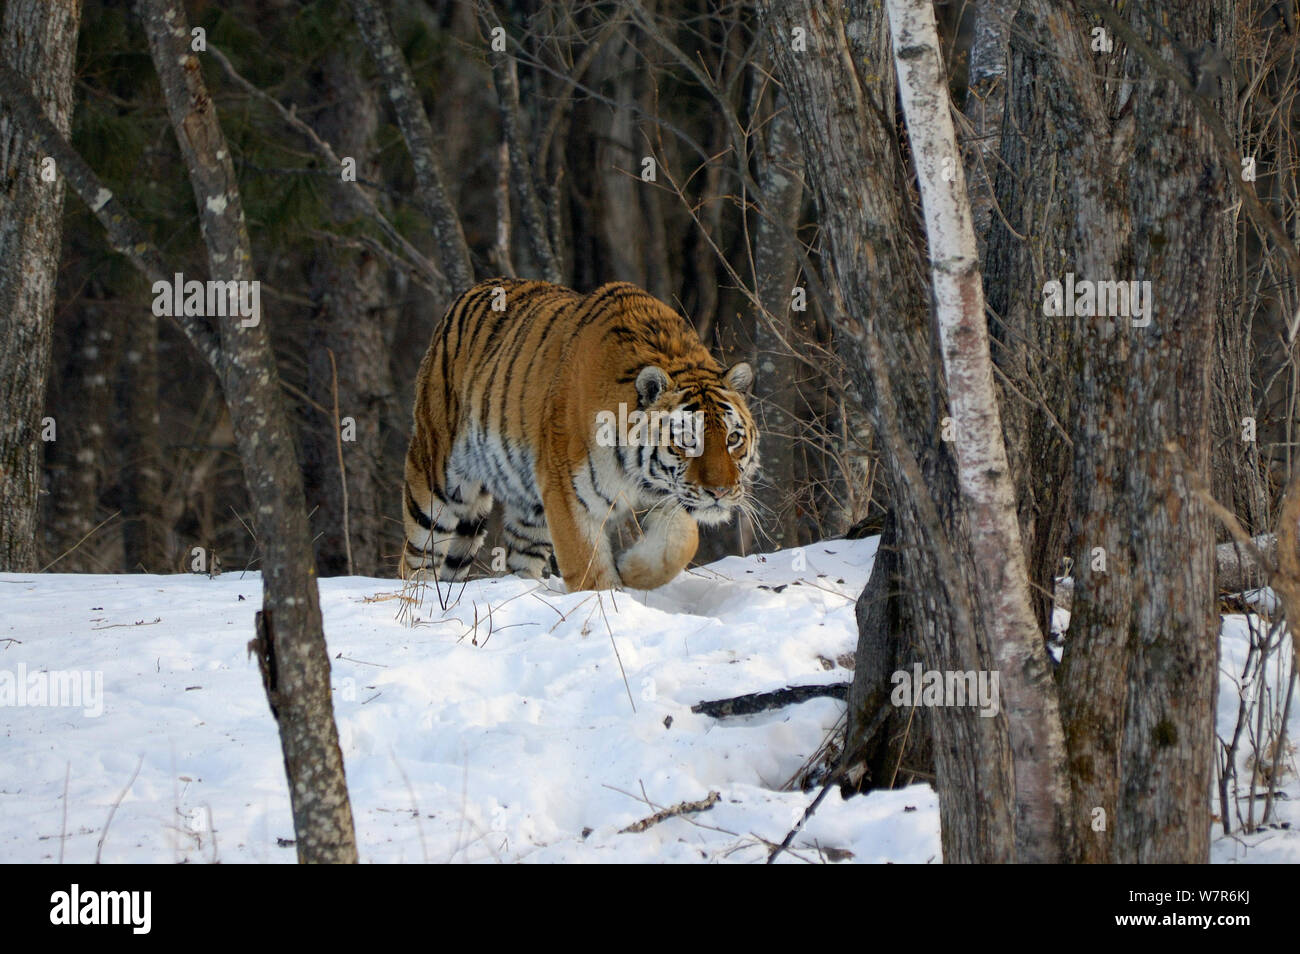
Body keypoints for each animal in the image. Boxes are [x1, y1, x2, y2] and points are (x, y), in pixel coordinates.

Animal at [400, 276, 759, 590]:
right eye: (687, 440)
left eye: (733, 439)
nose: (720, 492)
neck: (638, 475)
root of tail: (471, 291)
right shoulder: (566, 492)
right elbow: (588, 567)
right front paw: (608, 603)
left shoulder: (667, 494)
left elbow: (682, 543)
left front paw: (631, 570)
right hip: (436, 481)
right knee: (418, 559)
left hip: (529, 511)